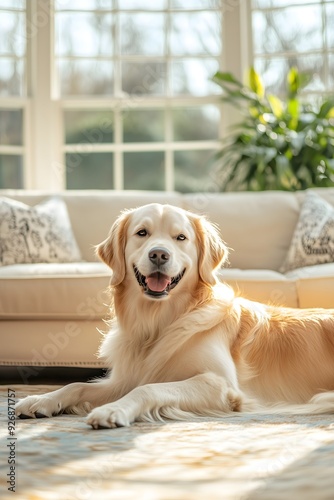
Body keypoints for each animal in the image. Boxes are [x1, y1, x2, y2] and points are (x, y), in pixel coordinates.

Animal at [15, 201, 334, 428]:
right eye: (142, 233)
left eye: (181, 237)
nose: (159, 254)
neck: (160, 322)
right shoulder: (125, 379)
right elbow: (76, 385)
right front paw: (41, 399)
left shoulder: (220, 384)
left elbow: (149, 390)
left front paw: (113, 410)